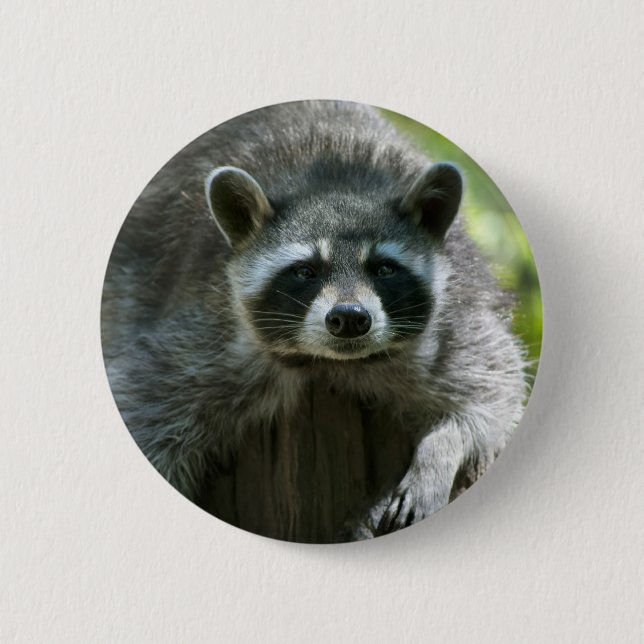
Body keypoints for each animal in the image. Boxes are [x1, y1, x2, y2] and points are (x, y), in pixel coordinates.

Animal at [102, 100, 526, 539]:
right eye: (305, 271)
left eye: (384, 269)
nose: (350, 318)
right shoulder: (204, 337)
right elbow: (142, 403)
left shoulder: (455, 317)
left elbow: (490, 390)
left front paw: (440, 452)